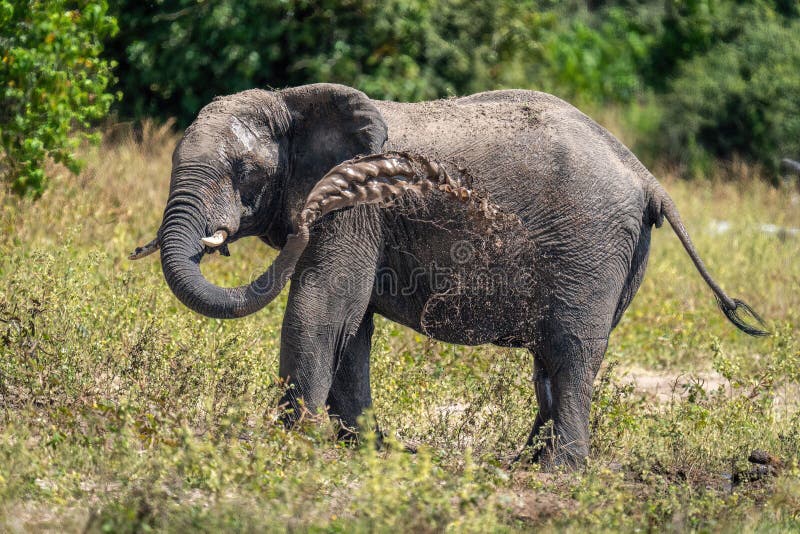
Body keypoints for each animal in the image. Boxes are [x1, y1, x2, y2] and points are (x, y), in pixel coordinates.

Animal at [130, 83, 766, 467]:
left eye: (244, 170)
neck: (295, 101)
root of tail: (646, 175)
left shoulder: (353, 209)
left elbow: (324, 305)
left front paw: (294, 444)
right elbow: (351, 326)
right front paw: (363, 448)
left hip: (592, 247)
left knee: (571, 351)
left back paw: (559, 472)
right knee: (552, 359)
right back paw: (525, 463)